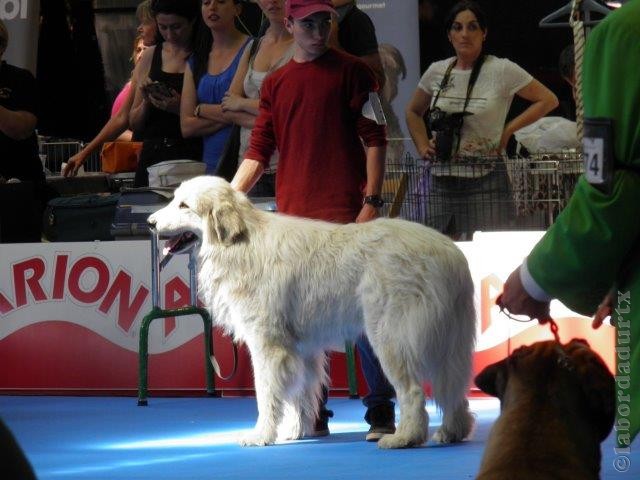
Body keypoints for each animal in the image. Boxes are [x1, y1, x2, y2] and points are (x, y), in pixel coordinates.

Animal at [149, 177, 476, 450]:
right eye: (174, 200)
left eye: (184, 205)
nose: (150, 222)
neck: (238, 243)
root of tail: (451, 253)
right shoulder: (299, 350)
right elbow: (300, 394)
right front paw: (295, 431)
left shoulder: (268, 346)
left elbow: (266, 394)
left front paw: (261, 435)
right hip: (449, 342)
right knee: (454, 389)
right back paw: (451, 432)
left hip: (390, 338)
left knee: (413, 392)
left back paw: (404, 438)